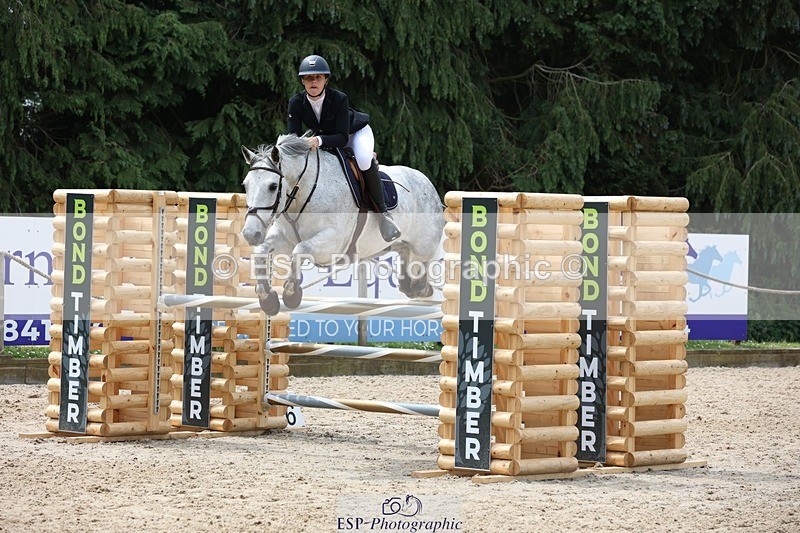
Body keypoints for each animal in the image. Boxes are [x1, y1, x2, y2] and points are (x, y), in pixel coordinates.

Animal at [240, 133, 444, 314]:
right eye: (245, 185)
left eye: (273, 186)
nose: (250, 234)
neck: (303, 192)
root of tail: (428, 183)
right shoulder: (283, 239)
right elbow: (261, 251)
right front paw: (267, 299)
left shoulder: (333, 243)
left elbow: (300, 250)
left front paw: (292, 294)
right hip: (391, 245)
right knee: (403, 254)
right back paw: (410, 283)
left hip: (423, 247)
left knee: (422, 266)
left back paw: (421, 287)